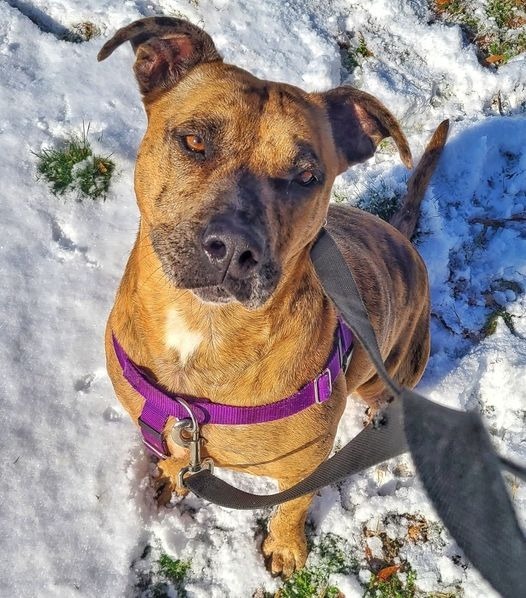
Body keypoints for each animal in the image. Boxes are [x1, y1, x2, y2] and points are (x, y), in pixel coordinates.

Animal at [99, 16, 450, 580]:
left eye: (307, 176)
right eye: (194, 141)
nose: (233, 247)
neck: (202, 328)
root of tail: (401, 237)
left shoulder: (305, 465)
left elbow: (293, 504)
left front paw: (286, 547)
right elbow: (173, 456)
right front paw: (170, 474)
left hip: (392, 370)